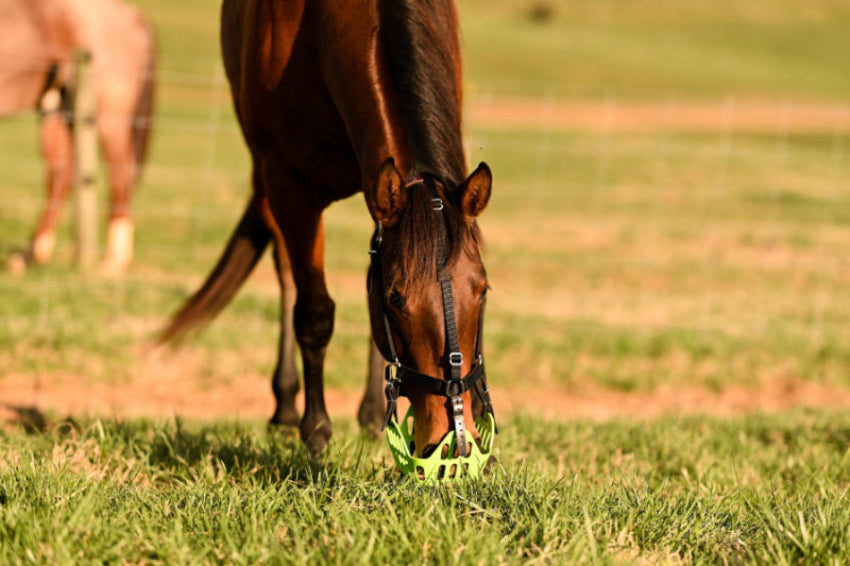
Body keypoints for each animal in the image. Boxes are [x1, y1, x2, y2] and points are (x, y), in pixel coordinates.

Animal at [0, 0, 155, 273]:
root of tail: (132, 14)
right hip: (57, 107)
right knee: (60, 176)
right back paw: (30, 256)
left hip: (107, 115)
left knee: (120, 175)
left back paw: (113, 263)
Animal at [161, 0, 494, 459]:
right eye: (396, 300)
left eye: (483, 291)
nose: (453, 442)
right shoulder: (289, 183)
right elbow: (315, 312)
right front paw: (316, 430)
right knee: (287, 276)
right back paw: (286, 406)